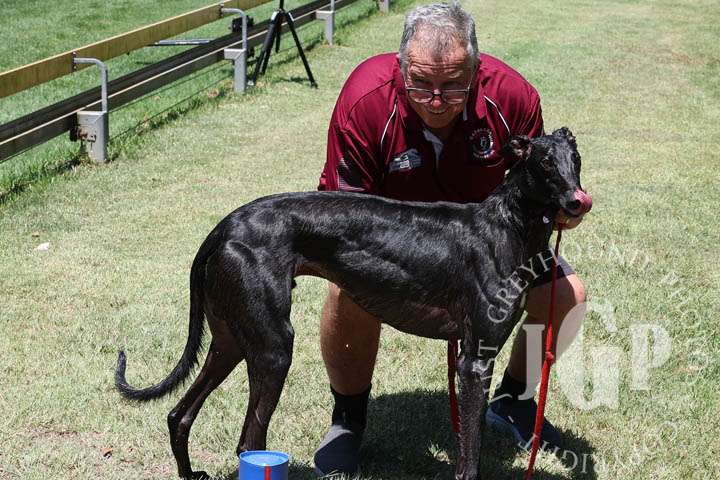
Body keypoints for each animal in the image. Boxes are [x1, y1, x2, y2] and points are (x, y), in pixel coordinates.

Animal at [115, 127, 592, 480]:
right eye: (544, 161)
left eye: (576, 159)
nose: (578, 201)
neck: (506, 225)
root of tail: (224, 227)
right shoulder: (475, 360)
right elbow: (469, 458)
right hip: (272, 349)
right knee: (248, 442)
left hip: (230, 340)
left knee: (178, 414)